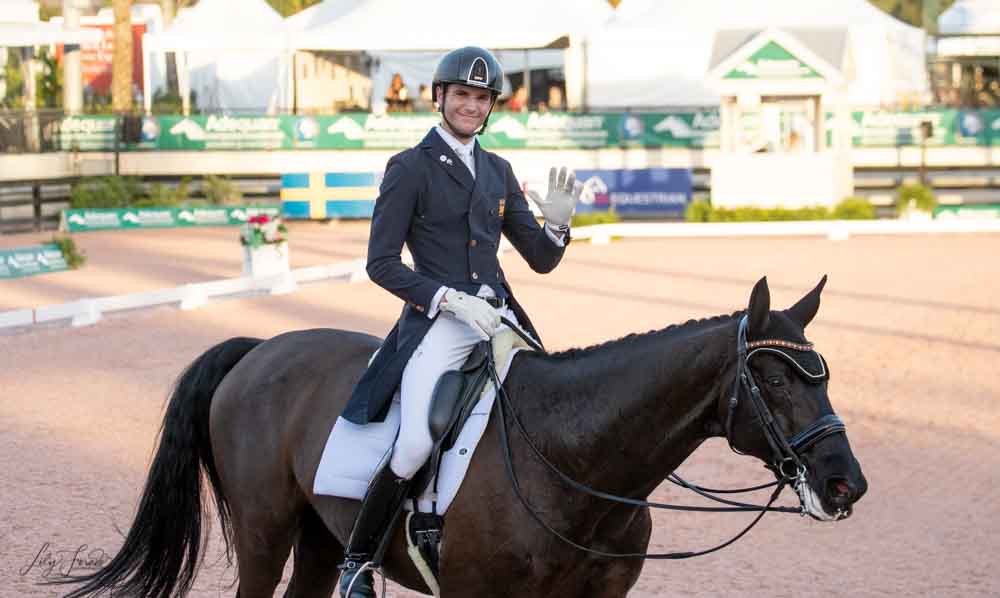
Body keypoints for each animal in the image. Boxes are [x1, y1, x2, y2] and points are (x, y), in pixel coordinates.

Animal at [58, 278, 864, 598]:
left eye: (825, 375)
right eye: (776, 380)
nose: (844, 484)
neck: (573, 460)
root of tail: (259, 350)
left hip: (320, 537)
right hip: (264, 532)